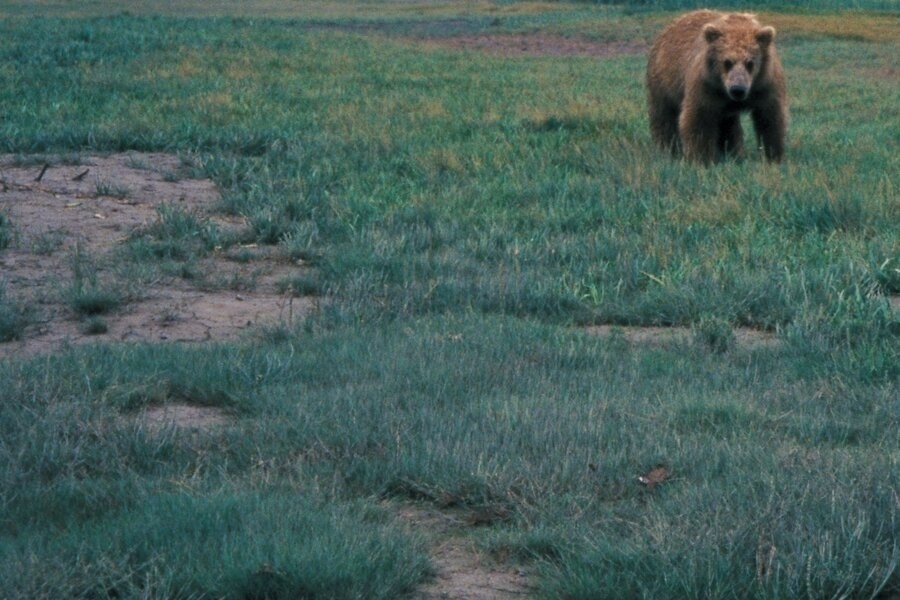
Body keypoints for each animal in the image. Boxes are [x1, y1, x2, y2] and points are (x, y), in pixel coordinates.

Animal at [646, 10, 787, 164]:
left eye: (750, 63)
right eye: (727, 62)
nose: (738, 89)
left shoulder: (765, 85)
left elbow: (770, 119)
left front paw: (773, 156)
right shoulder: (706, 86)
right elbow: (699, 119)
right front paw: (701, 158)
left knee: (728, 125)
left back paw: (732, 153)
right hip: (664, 83)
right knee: (664, 117)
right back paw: (667, 148)